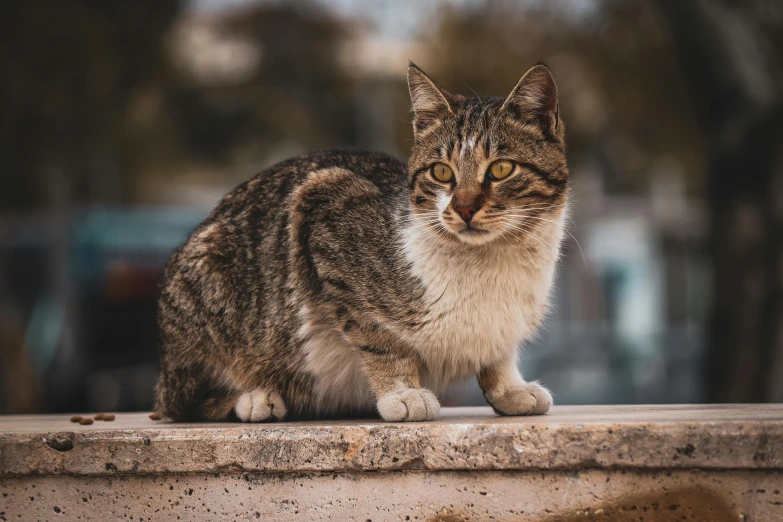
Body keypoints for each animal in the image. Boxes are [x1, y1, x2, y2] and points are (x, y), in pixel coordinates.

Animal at [155, 61, 568, 420]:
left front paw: (509, 387)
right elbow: (378, 336)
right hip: (206, 282)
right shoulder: (323, 206)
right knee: (183, 401)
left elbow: (498, 350)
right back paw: (254, 397)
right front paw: (402, 392)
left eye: (501, 169)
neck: (492, 260)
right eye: (441, 172)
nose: (464, 209)